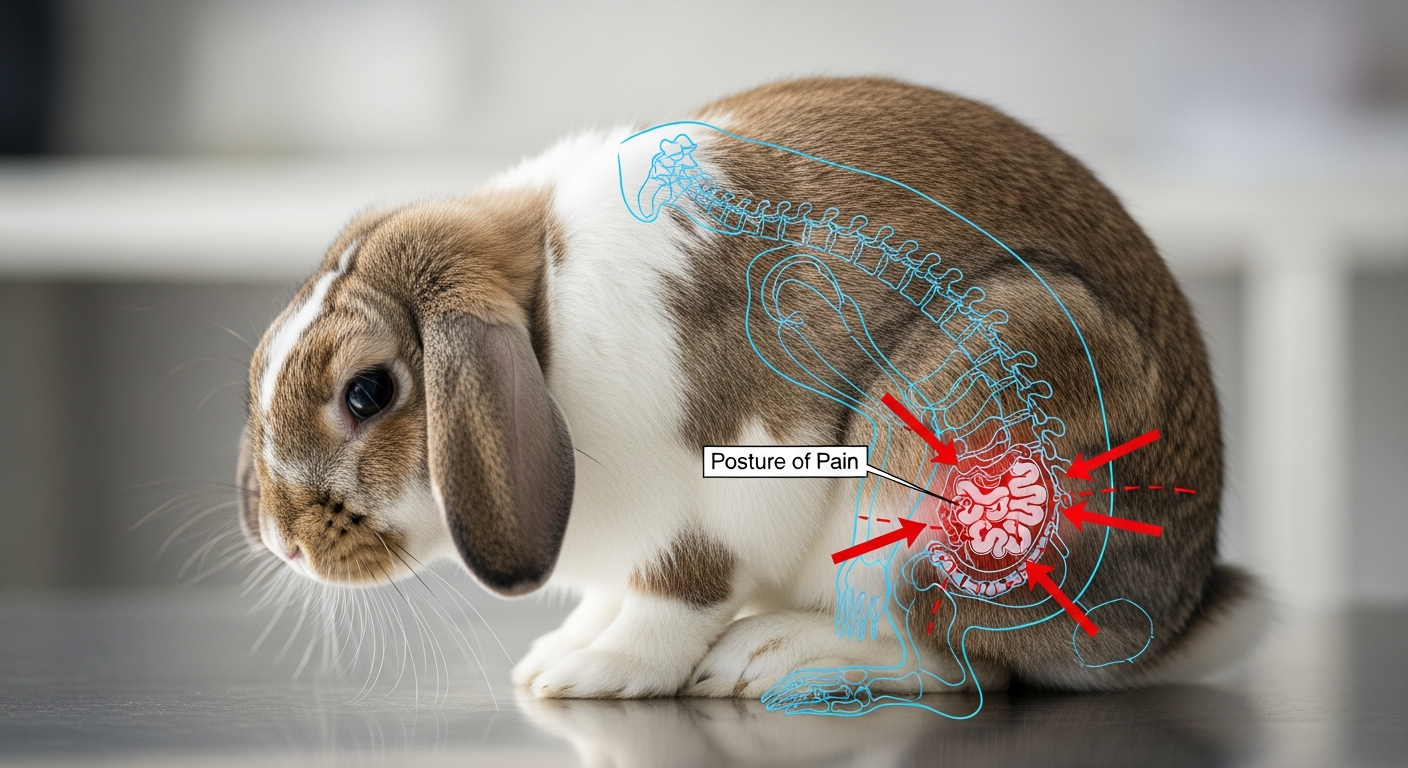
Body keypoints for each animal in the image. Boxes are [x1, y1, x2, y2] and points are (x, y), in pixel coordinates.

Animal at [238, 77, 1263, 702]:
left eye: (368, 391)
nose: (282, 539)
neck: (544, 329)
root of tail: (1164, 618)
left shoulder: (717, 494)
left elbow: (672, 598)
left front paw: (596, 672)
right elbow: (619, 595)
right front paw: (555, 656)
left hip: (947, 443)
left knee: (945, 658)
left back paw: (769, 658)